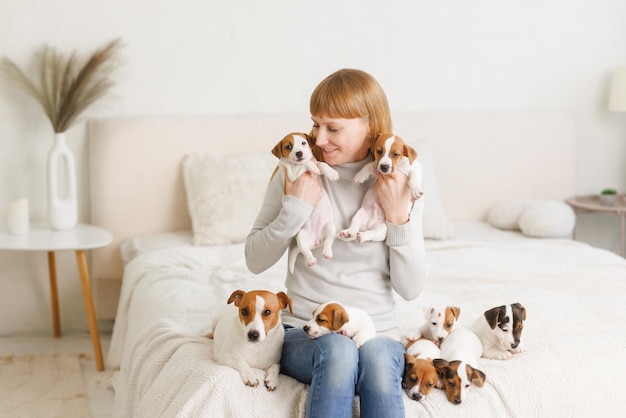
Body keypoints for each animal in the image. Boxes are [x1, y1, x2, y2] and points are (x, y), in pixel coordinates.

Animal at [270, 132, 338, 272]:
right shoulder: (292, 177)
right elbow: (305, 165)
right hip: (301, 237)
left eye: (303, 143)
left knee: (328, 241)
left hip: (330, 226)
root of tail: (317, 241)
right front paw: (311, 167)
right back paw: (311, 260)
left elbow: (321, 164)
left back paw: (327, 252)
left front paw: (331, 173)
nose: (299, 153)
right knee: (305, 250)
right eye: (289, 146)